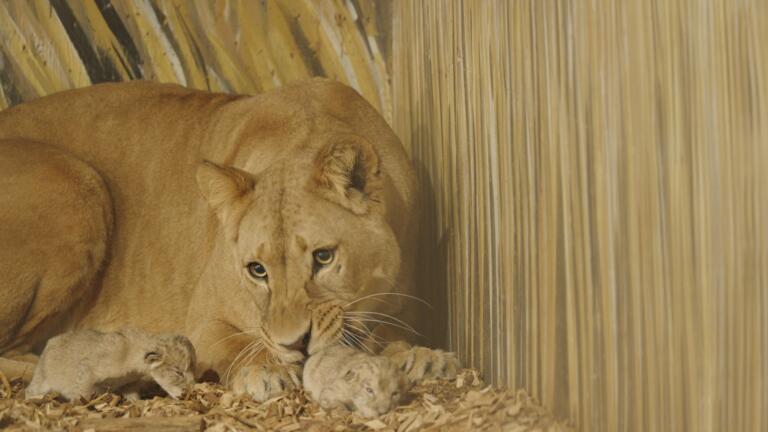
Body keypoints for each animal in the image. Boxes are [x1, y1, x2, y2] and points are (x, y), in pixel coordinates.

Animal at [0, 79, 458, 401]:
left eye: (324, 258)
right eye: (257, 270)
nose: (296, 345)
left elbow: (382, 334)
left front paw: (420, 357)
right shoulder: (203, 319)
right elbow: (240, 344)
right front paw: (267, 370)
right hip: (75, 181)